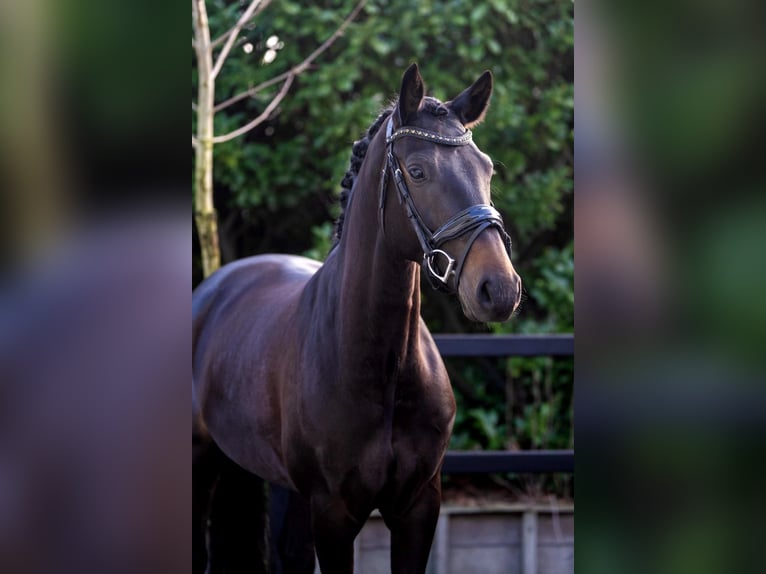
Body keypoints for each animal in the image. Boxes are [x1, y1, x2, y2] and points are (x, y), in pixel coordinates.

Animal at [193, 63, 522, 573]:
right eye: (418, 171)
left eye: (485, 167)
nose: (499, 289)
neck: (382, 368)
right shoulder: (333, 515)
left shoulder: (418, 508)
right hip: (203, 466)